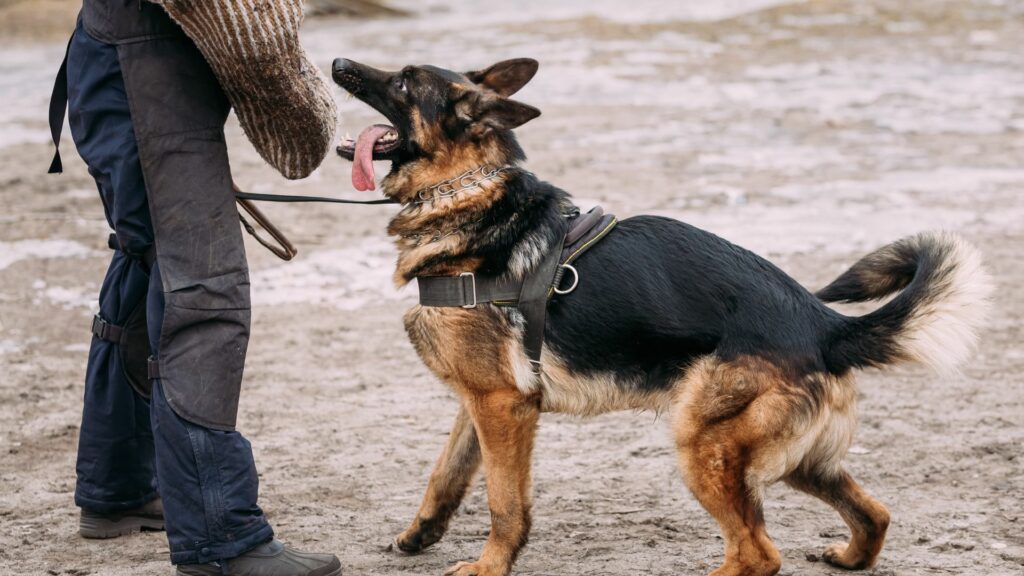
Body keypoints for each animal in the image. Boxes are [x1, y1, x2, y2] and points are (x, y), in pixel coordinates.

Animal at [331, 54, 987, 573]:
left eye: (404, 81)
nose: (337, 63)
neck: (465, 188)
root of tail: (827, 325)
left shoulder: (502, 406)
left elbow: (504, 504)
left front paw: (489, 566)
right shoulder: (484, 400)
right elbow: (446, 474)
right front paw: (420, 534)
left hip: (702, 443)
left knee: (758, 553)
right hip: (794, 459)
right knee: (873, 514)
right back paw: (851, 556)